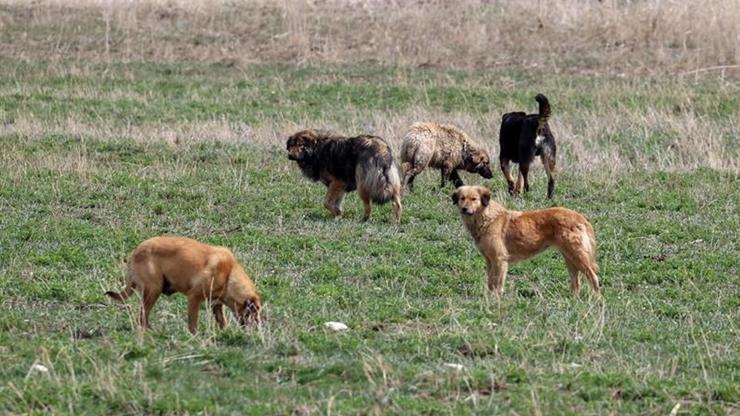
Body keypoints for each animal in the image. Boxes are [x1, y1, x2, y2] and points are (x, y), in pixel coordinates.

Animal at [105, 237, 262, 334]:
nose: (260, 327)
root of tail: (134, 253)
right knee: (142, 316)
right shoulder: (194, 298)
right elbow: (193, 323)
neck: (229, 275)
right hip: (154, 290)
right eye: (254, 312)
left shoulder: (216, 304)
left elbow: (222, 322)